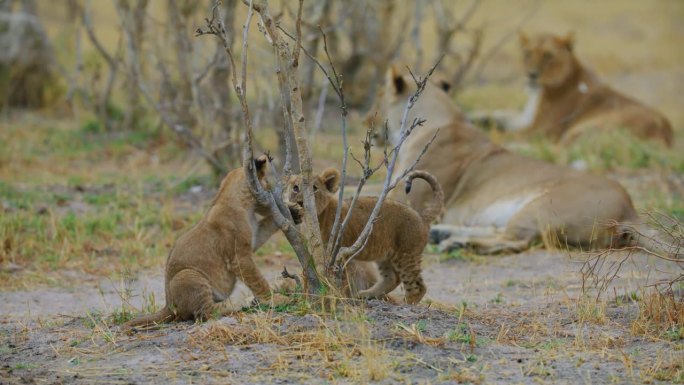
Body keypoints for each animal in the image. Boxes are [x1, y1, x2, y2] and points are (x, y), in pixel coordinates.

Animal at [374, 64, 652, 254]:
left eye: (378, 102)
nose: (368, 122)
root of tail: (630, 210)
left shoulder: (408, 199)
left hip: (540, 207)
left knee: (515, 240)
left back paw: (456, 242)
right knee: (498, 230)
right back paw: (443, 234)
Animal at [486, 32, 672, 146]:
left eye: (548, 55)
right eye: (527, 53)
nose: (531, 74)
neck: (537, 94)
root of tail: (666, 133)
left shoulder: (542, 129)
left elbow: (511, 133)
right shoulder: (527, 117)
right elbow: (502, 114)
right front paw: (482, 118)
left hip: (585, 127)